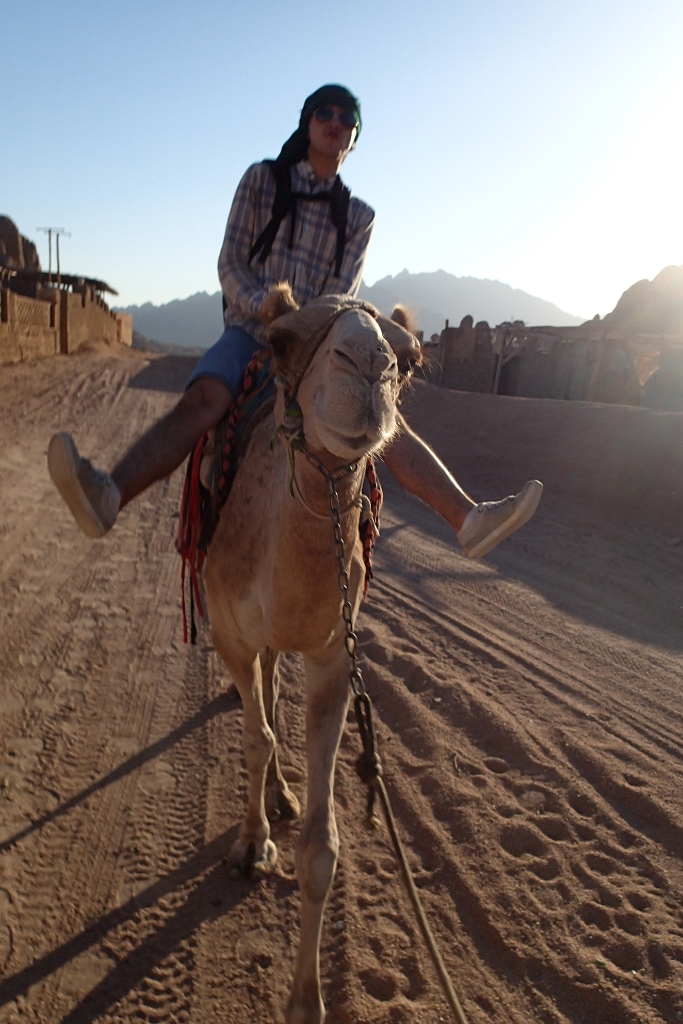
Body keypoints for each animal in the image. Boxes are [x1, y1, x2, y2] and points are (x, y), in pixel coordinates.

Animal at [203, 285, 421, 1024]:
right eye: (281, 342)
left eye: (412, 359)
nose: (370, 367)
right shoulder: (230, 629)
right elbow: (255, 738)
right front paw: (250, 844)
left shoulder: (331, 656)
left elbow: (323, 850)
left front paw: (306, 1000)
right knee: (262, 706)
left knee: (271, 691)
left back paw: (286, 796)